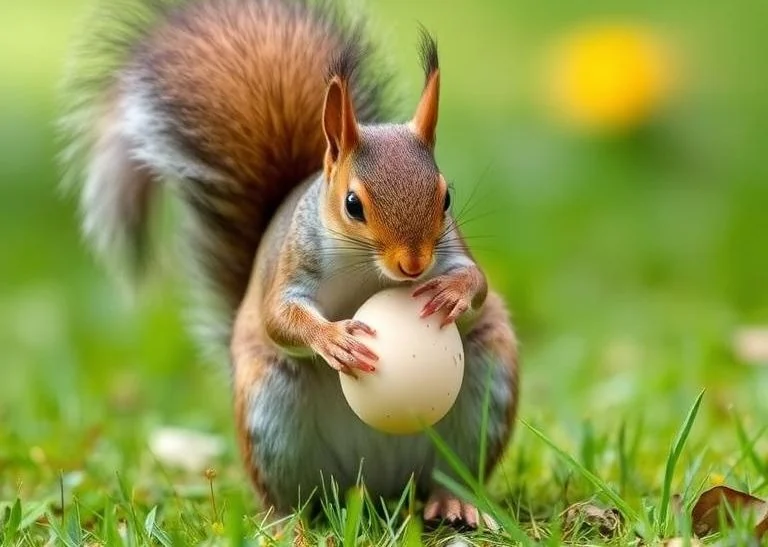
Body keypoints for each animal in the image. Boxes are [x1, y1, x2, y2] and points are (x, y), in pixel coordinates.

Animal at [60, 0, 519, 529]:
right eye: (353, 204)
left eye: (446, 198)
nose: (413, 265)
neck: (367, 269)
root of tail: (377, 486)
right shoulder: (292, 265)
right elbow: (278, 318)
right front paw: (333, 339)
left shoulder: (453, 247)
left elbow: (478, 280)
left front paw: (452, 292)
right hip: (271, 415)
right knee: (294, 496)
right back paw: (289, 524)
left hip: (484, 391)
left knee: (449, 474)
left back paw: (454, 502)